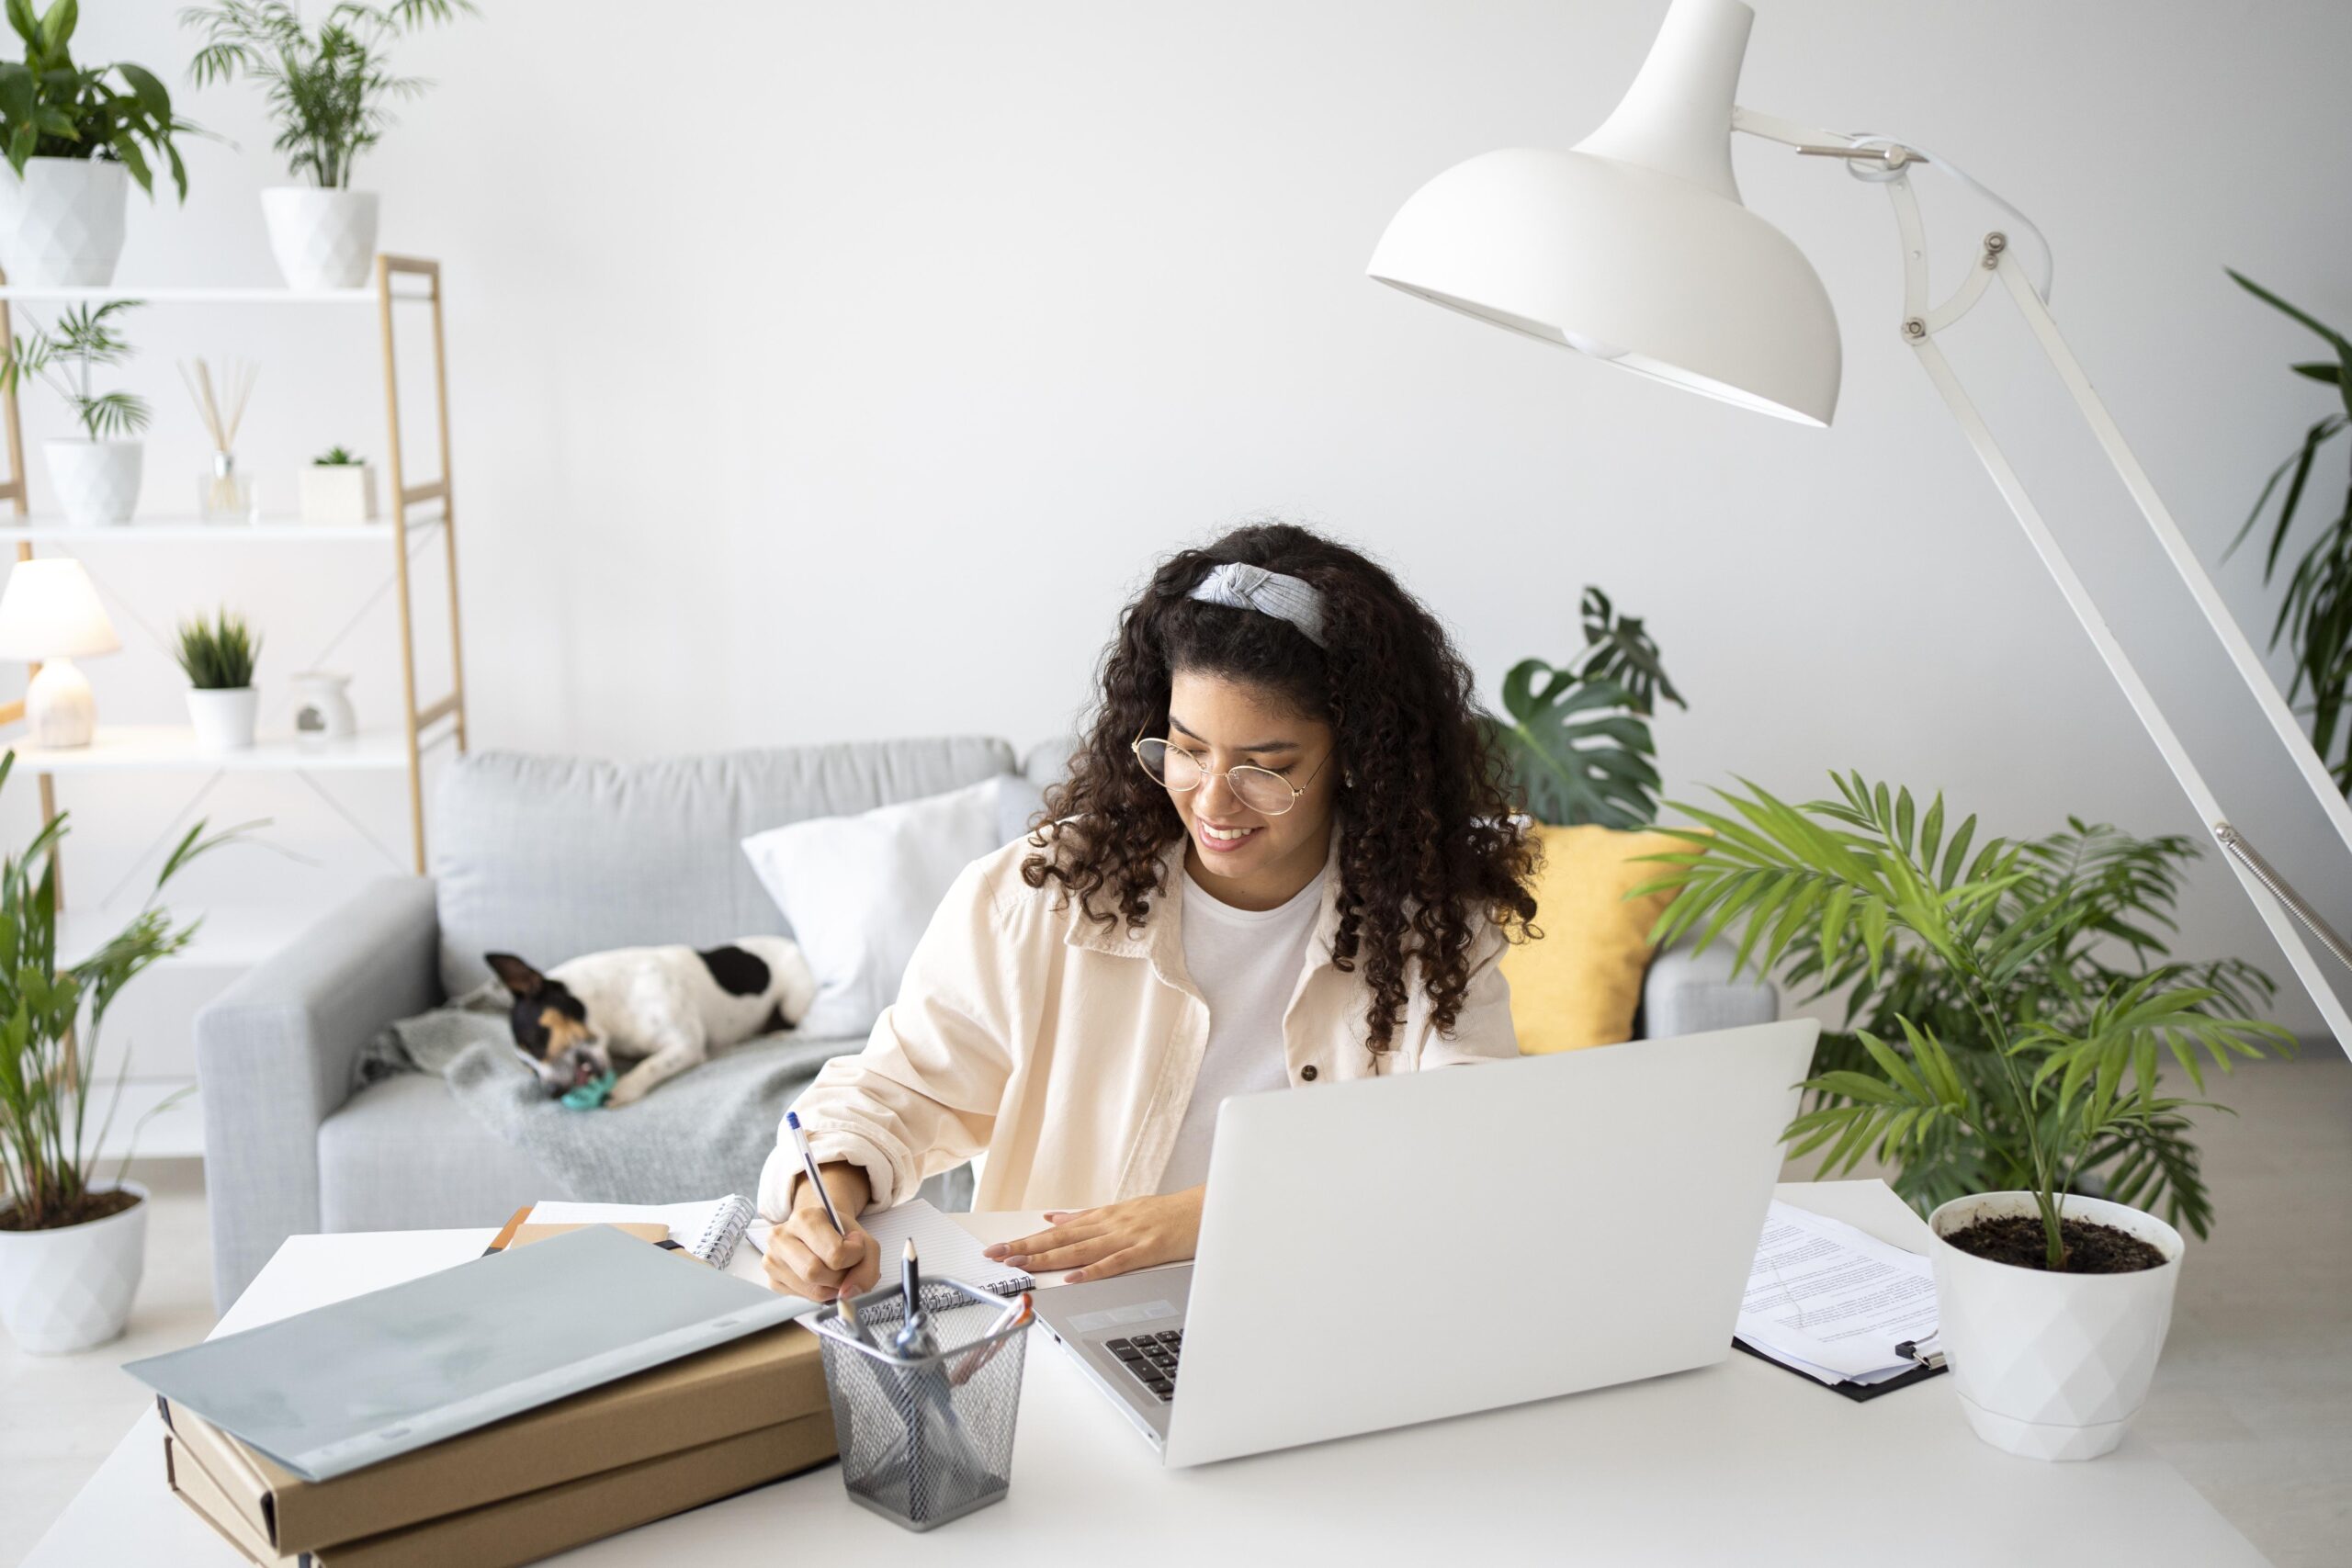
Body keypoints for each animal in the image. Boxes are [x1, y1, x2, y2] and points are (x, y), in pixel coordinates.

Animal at [484, 940, 818, 1109]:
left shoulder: (685, 1045)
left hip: (792, 1003)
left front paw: (625, 1088)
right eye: (528, 1069)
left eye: (535, 1039)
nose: (552, 1092)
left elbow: (651, 1065)